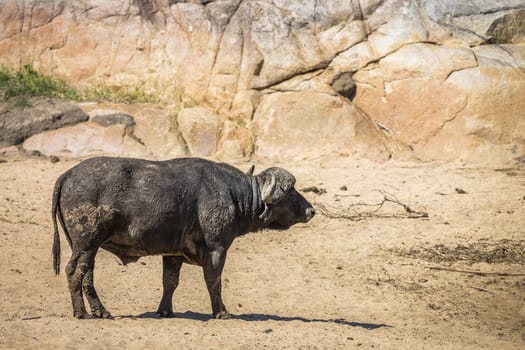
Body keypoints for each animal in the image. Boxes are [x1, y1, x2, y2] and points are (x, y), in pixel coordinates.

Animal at [52, 157, 316, 318]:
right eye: (291, 191)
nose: (311, 210)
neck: (233, 195)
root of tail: (67, 174)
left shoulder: (172, 255)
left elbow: (169, 282)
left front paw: (165, 311)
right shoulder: (217, 250)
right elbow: (214, 282)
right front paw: (221, 312)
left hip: (88, 247)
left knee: (87, 276)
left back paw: (101, 311)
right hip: (86, 244)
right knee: (73, 272)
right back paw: (81, 312)